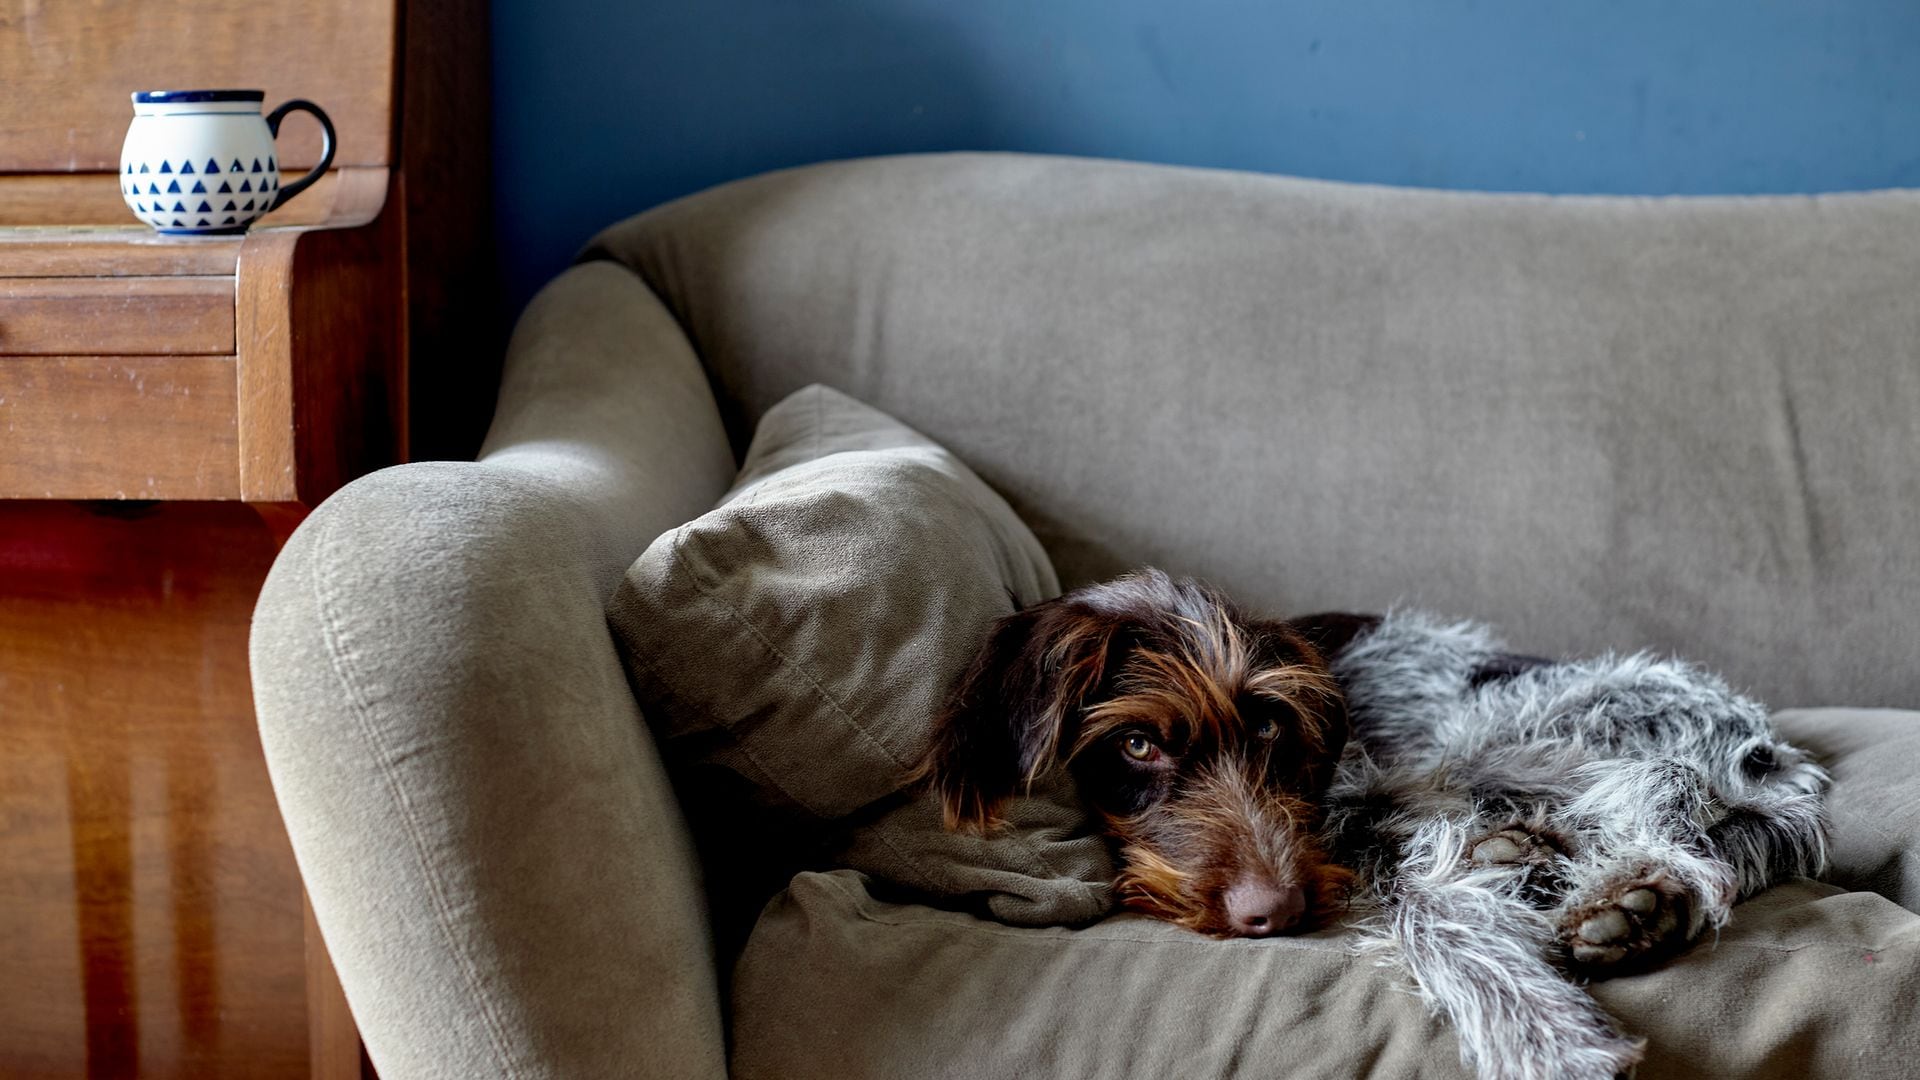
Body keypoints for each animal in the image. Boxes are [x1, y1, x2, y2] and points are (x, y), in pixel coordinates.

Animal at [913, 568, 1827, 1068]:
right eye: (1136, 744)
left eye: (1271, 729)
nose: (1273, 912)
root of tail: (1770, 754)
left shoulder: (1364, 805)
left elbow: (1429, 903)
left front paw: (1543, 1034)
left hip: (1505, 743)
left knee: (1664, 809)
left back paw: (1637, 893)